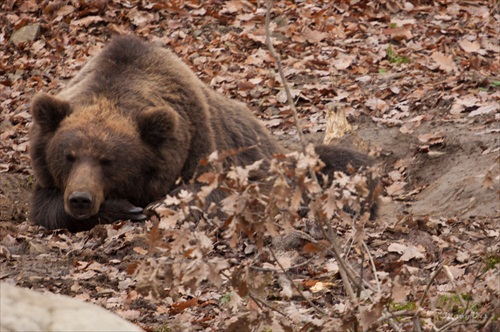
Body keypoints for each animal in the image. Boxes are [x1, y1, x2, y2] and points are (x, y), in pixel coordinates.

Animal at [29, 35, 376, 232]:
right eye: (68, 156)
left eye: (108, 160)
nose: (81, 199)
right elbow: (45, 208)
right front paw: (122, 207)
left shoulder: (201, 144)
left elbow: (209, 196)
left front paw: (149, 207)